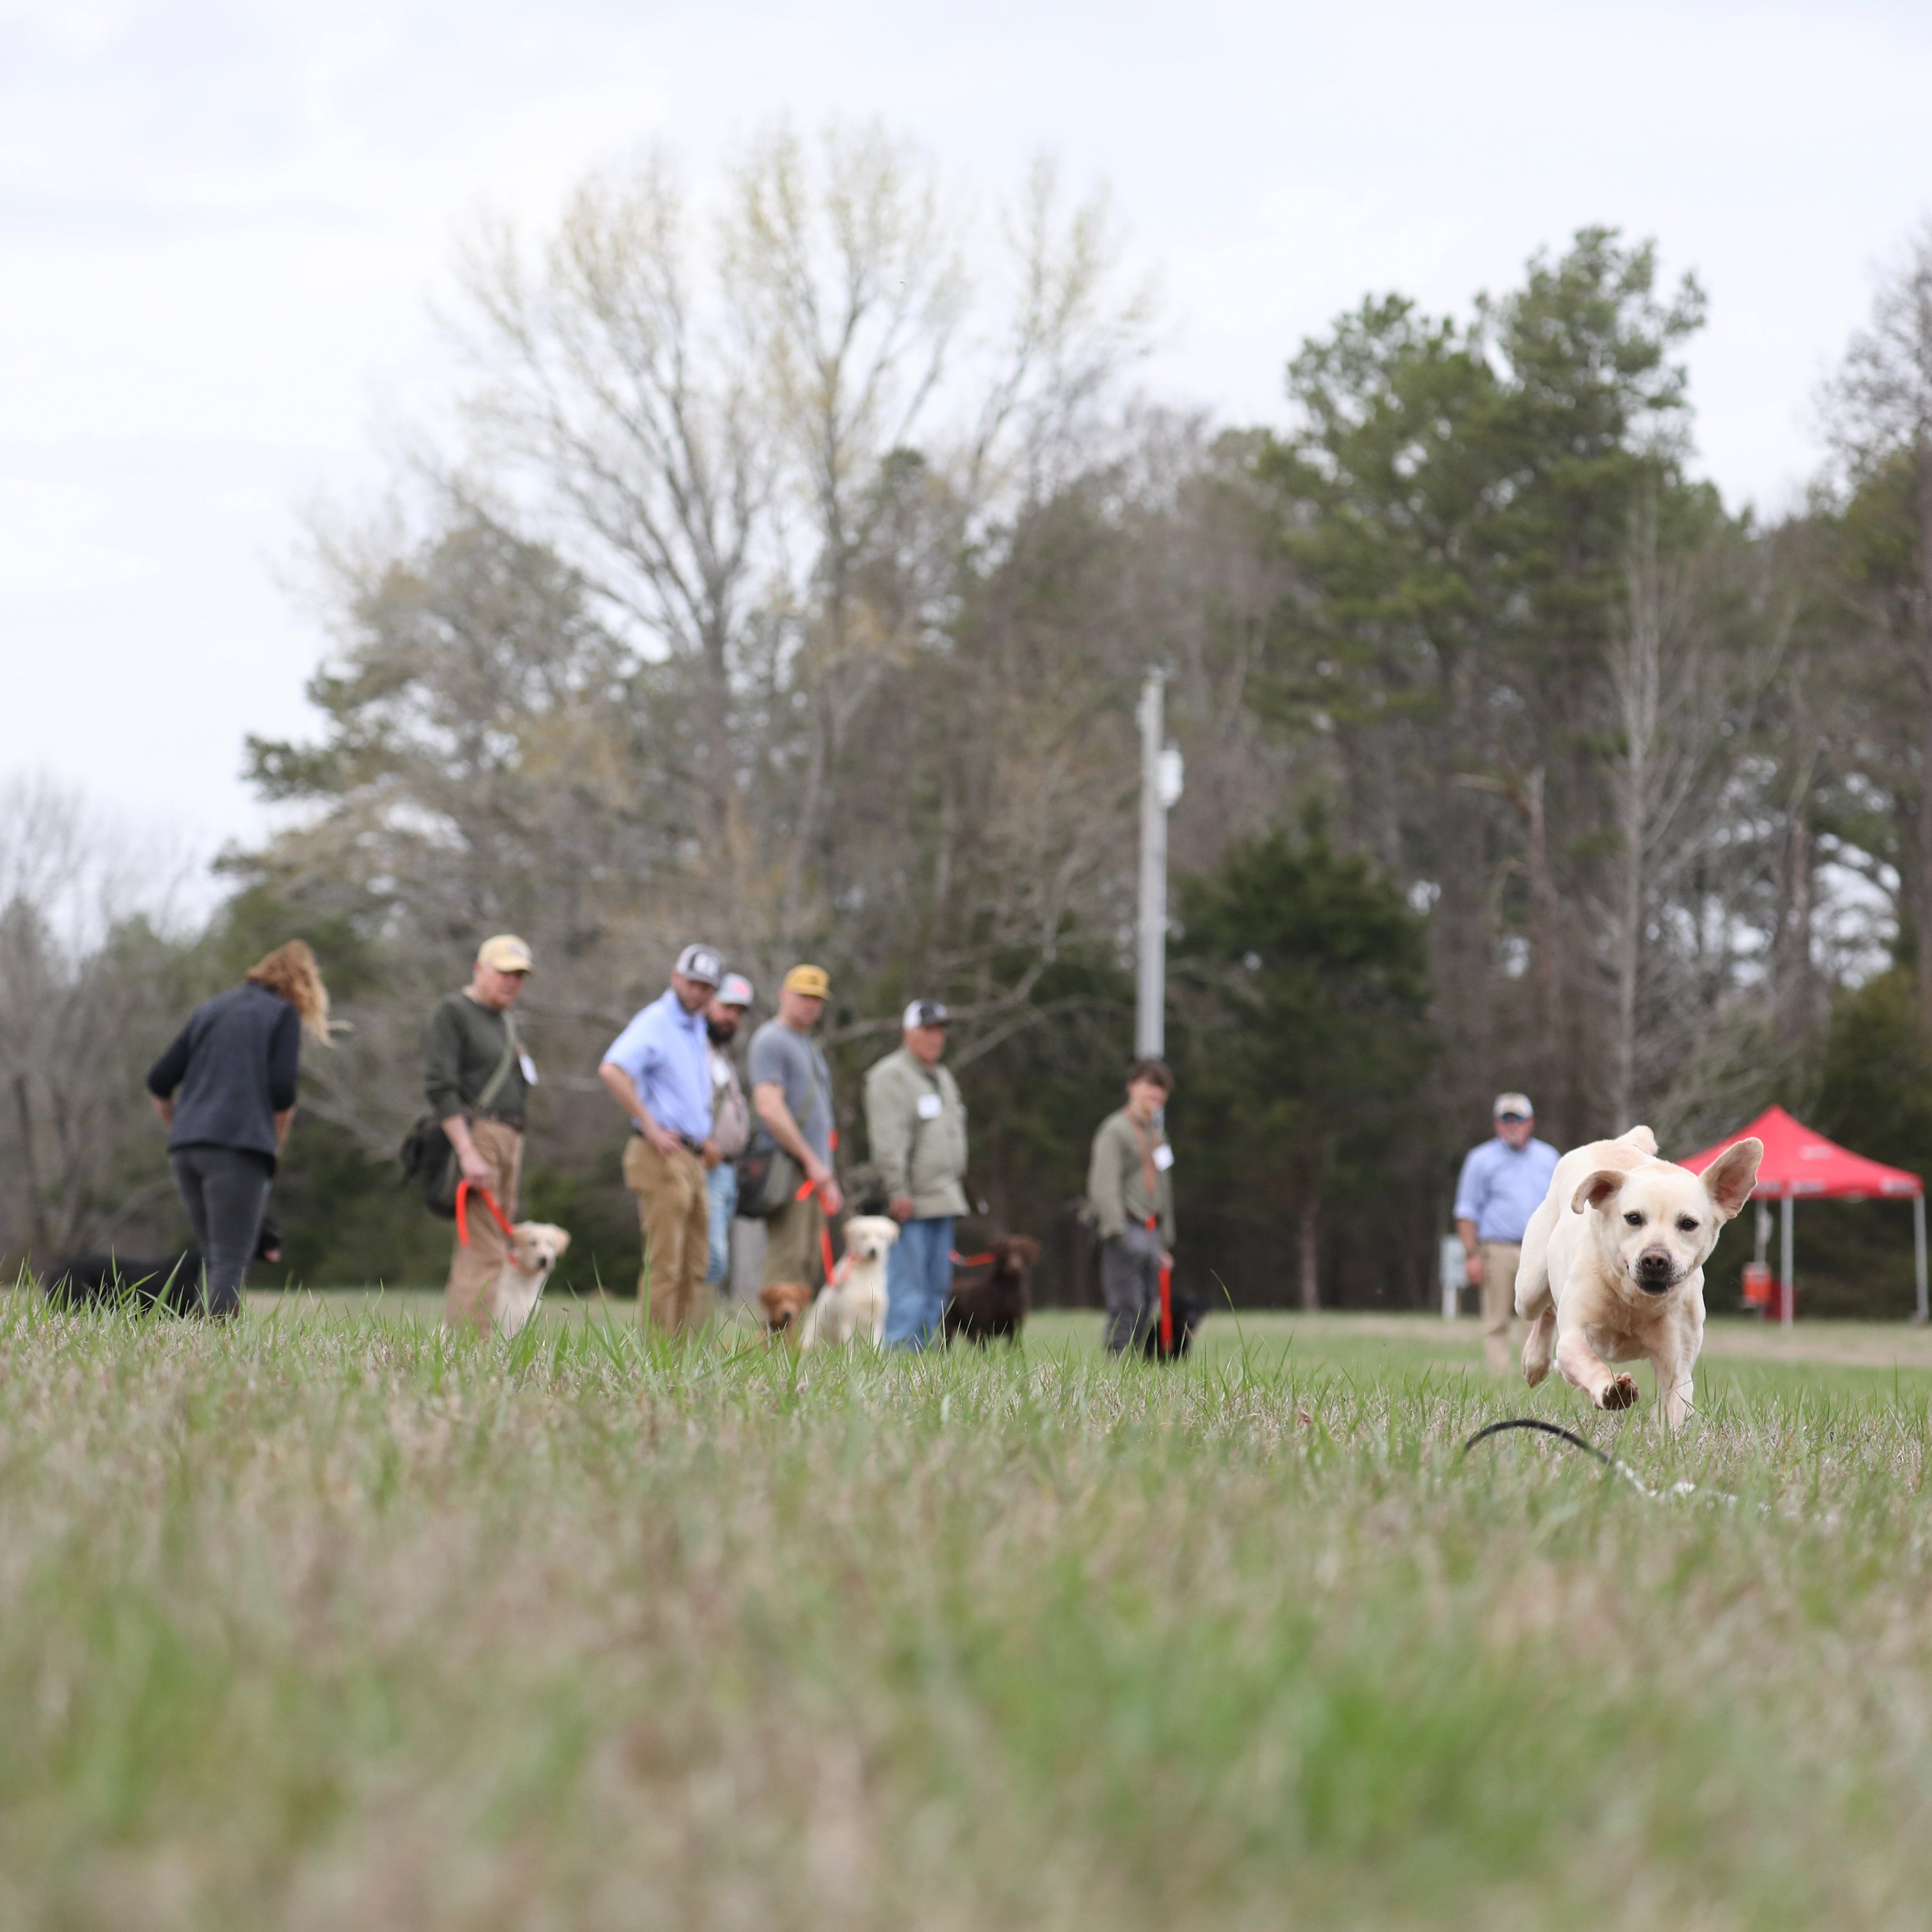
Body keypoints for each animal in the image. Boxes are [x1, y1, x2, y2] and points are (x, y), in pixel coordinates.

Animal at [792, 1213, 896, 1352]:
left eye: (881, 1237)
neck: (867, 1275)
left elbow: (875, 1346)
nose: (873, 1251)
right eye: (863, 1236)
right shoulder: (846, 1319)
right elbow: (849, 1346)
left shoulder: (876, 1321)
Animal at [939, 1236, 1043, 1345]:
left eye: (1022, 1252)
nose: (1015, 1267)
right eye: (1006, 1252)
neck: (1009, 1291)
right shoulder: (982, 1327)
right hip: (948, 1325)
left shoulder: (1017, 1327)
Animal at [1515, 1128, 1762, 1430]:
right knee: (1545, 1306)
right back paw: (1535, 1361)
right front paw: (1613, 1391)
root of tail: (1619, 1142)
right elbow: (1585, 1360)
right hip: (1529, 1288)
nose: (1655, 1260)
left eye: (1688, 1224)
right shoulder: (1572, 1337)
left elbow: (1675, 1399)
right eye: (1633, 1218)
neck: (1635, 1301)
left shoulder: (1677, 1360)